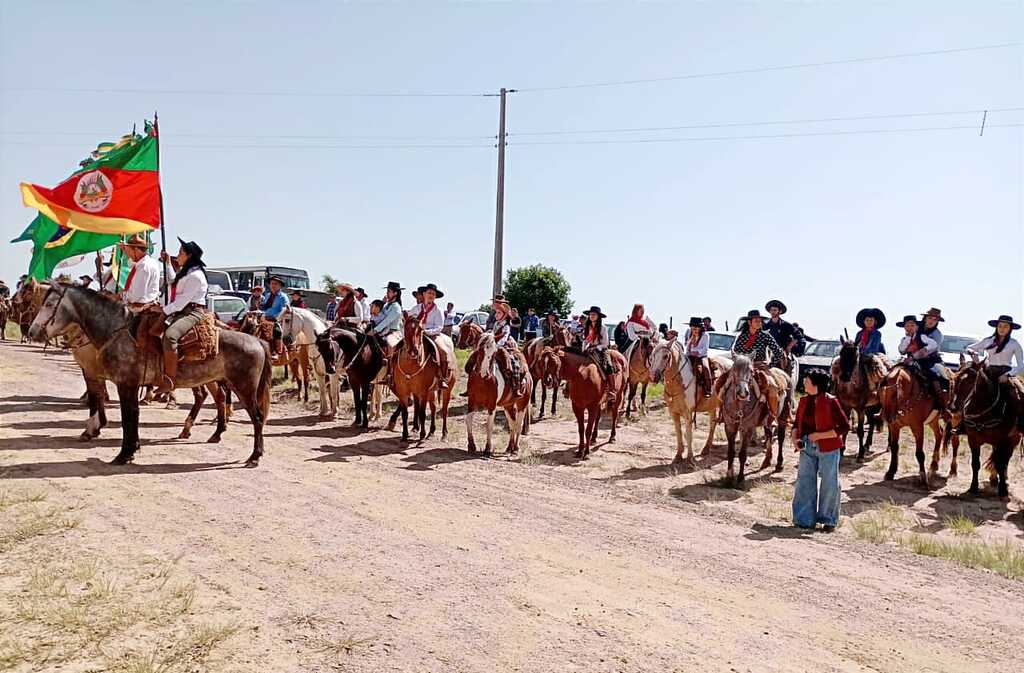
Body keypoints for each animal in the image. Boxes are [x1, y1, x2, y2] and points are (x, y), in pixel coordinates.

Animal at [29, 284, 272, 467]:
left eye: (49, 304)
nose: (32, 331)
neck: (117, 332)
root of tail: (257, 341)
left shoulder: (124, 383)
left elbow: (127, 417)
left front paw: (123, 454)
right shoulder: (115, 380)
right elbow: (127, 415)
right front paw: (128, 448)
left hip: (244, 388)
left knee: (257, 417)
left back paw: (254, 456)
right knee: (222, 400)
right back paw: (215, 435)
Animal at [716, 354, 786, 485]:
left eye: (751, 371)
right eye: (734, 369)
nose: (743, 393)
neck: (740, 405)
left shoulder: (748, 428)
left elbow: (743, 454)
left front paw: (740, 478)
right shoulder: (730, 427)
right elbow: (731, 452)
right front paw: (729, 477)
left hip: (782, 416)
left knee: (780, 438)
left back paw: (779, 464)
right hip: (767, 421)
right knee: (769, 434)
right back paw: (766, 461)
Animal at [946, 356, 1019, 493]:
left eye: (970, 381)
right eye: (954, 380)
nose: (952, 407)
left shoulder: (1002, 440)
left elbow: (1001, 463)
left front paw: (1002, 489)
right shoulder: (973, 439)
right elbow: (975, 463)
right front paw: (973, 487)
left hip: (1013, 439)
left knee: (1005, 458)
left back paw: (1003, 480)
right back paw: (994, 478)